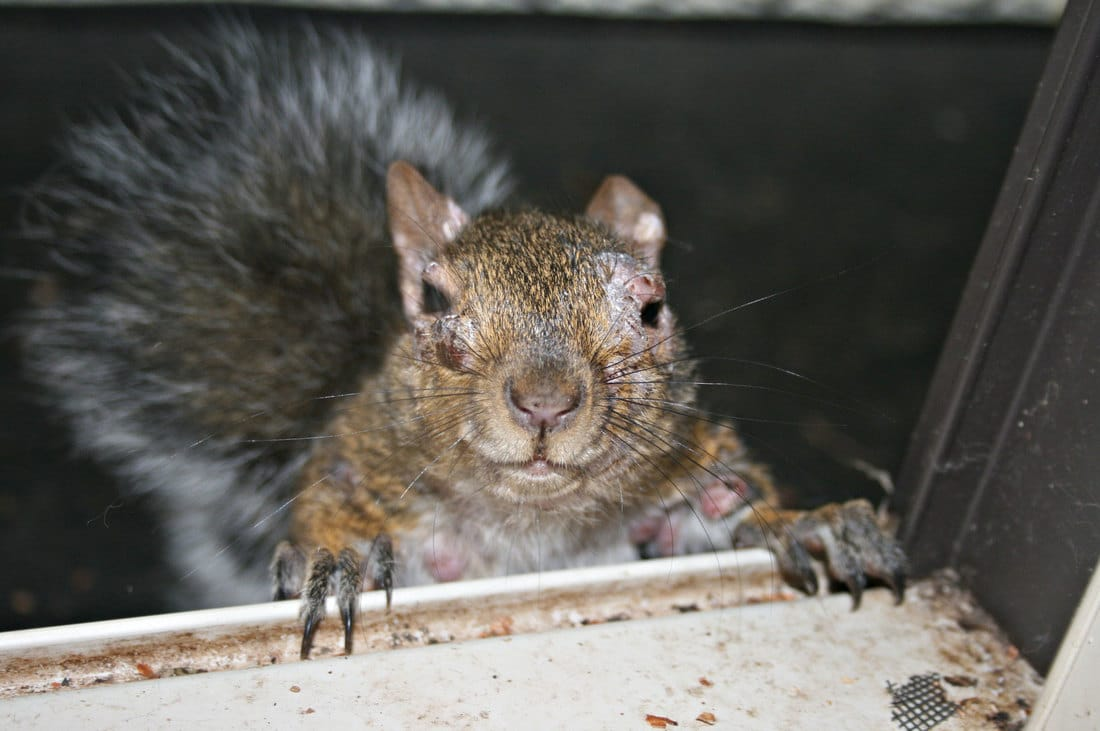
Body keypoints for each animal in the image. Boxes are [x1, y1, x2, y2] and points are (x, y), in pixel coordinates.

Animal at [21, 22, 905, 658]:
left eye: (653, 308)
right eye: (434, 300)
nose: (544, 403)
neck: (533, 520)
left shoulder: (681, 491)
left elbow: (728, 513)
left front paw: (812, 522)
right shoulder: (362, 471)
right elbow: (332, 517)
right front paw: (338, 559)